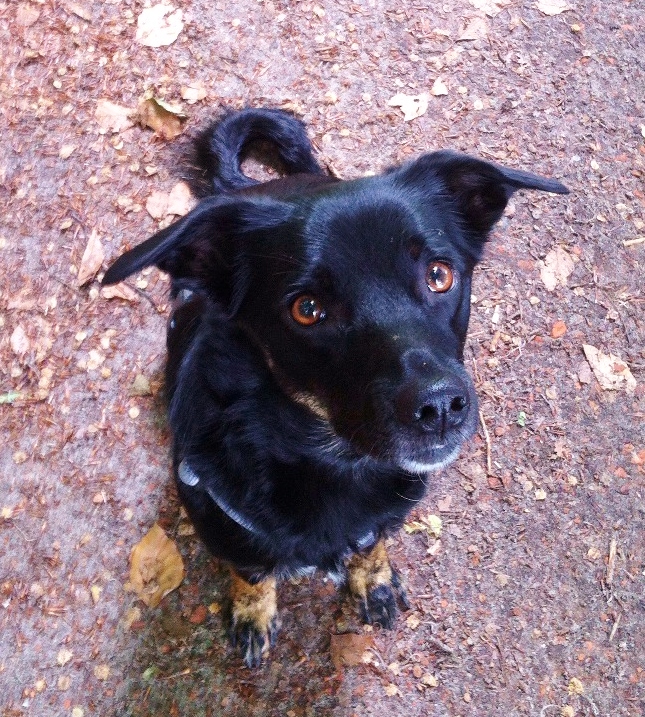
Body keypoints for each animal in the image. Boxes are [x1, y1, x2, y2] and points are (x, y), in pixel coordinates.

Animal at [102, 106, 568, 664]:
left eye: (439, 275)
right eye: (307, 309)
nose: (439, 406)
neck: (333, 460)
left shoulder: (380, 515)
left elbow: (370, 545)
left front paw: (373, 581)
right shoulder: (225, 525)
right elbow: (252, 574)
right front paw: (253, 613)